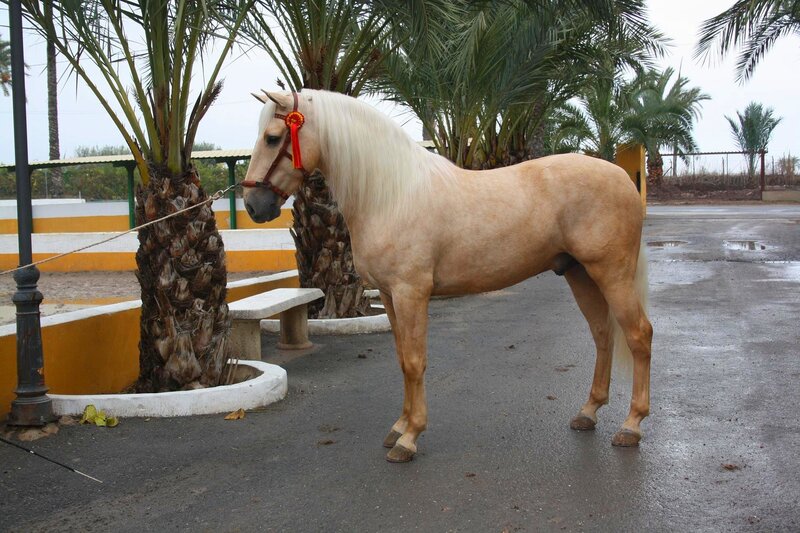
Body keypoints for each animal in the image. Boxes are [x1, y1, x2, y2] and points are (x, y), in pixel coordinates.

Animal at [242, 89, 652, 463]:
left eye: (273, 137)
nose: (253, 205)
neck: (392, 195)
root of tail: (622, 177)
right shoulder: (388, 295)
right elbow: (401, 358)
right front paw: (399, 427)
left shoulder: (410, 292)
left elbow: (414, 361)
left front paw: (410, 438)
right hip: (579, 274)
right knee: (602, 335)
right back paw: (588, 412)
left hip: (610, 273)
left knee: (637, 335)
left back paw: (631, 426)